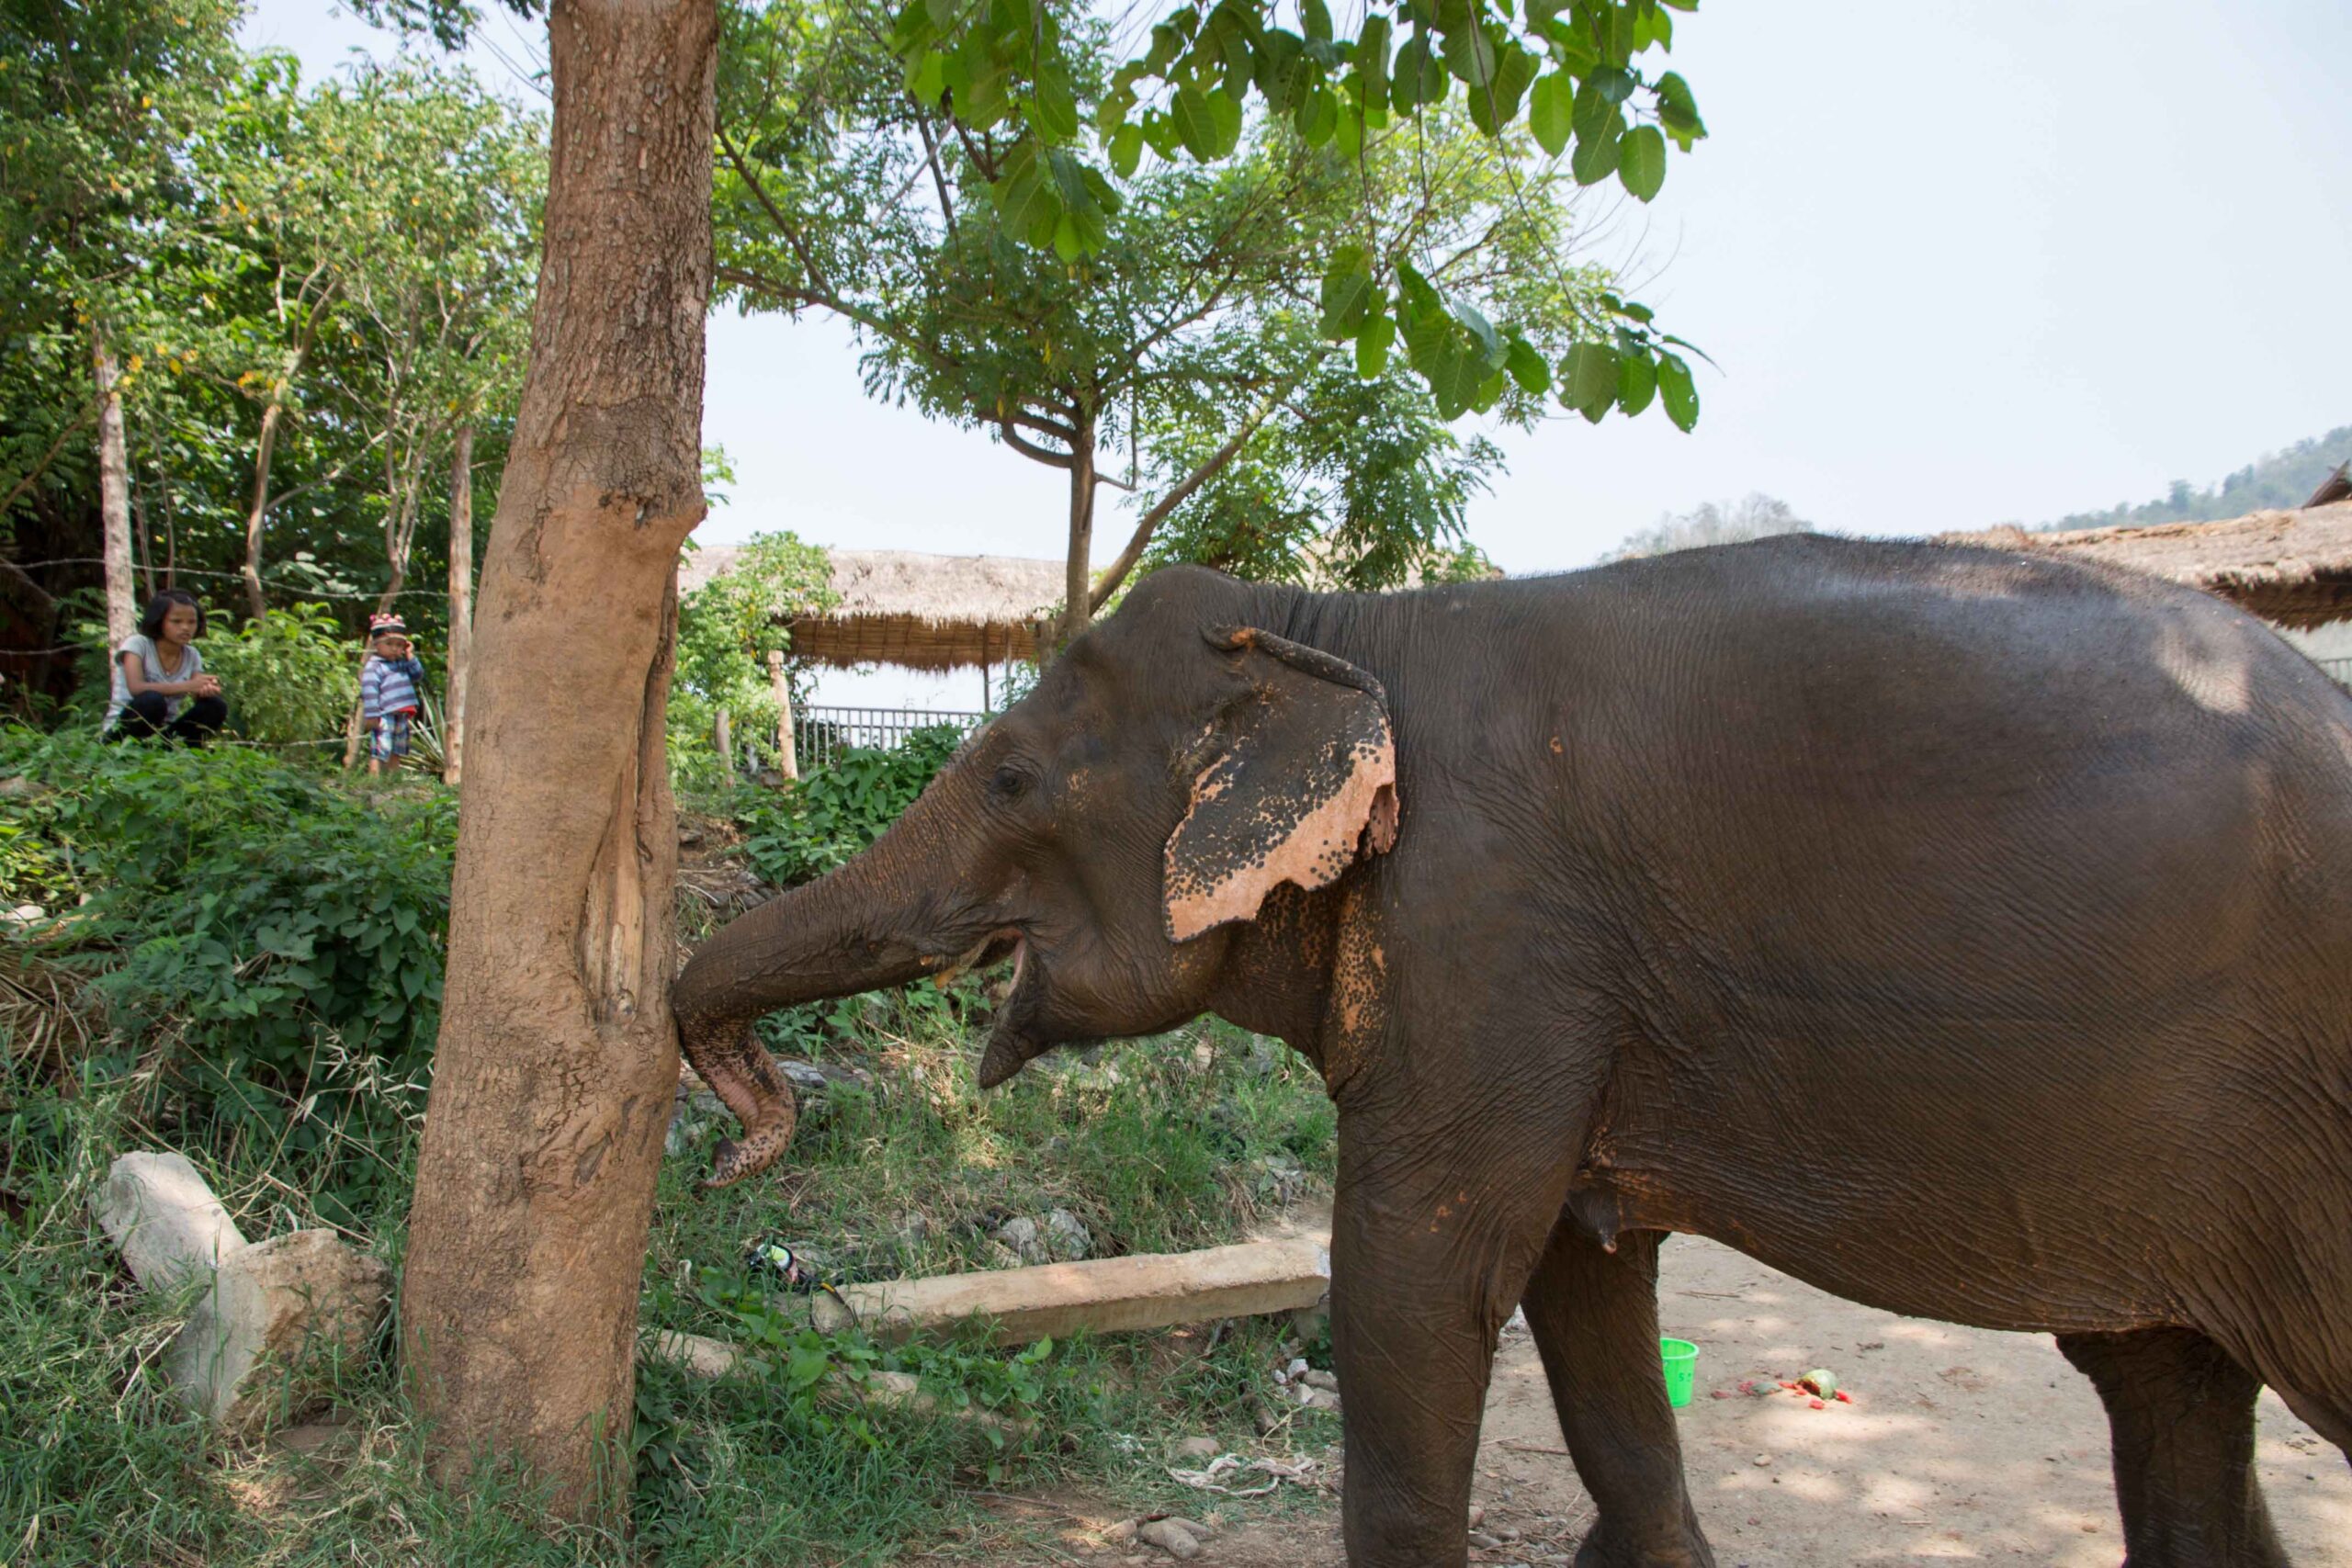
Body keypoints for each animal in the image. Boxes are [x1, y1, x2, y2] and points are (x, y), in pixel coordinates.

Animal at [671, 537, 2352, 1567]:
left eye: (1016, 777)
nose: (746, 1137)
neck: (1335, 624)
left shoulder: (1491, 929)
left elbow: (1416, 1279)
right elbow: (1582, 1280)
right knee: (2165, 1387)